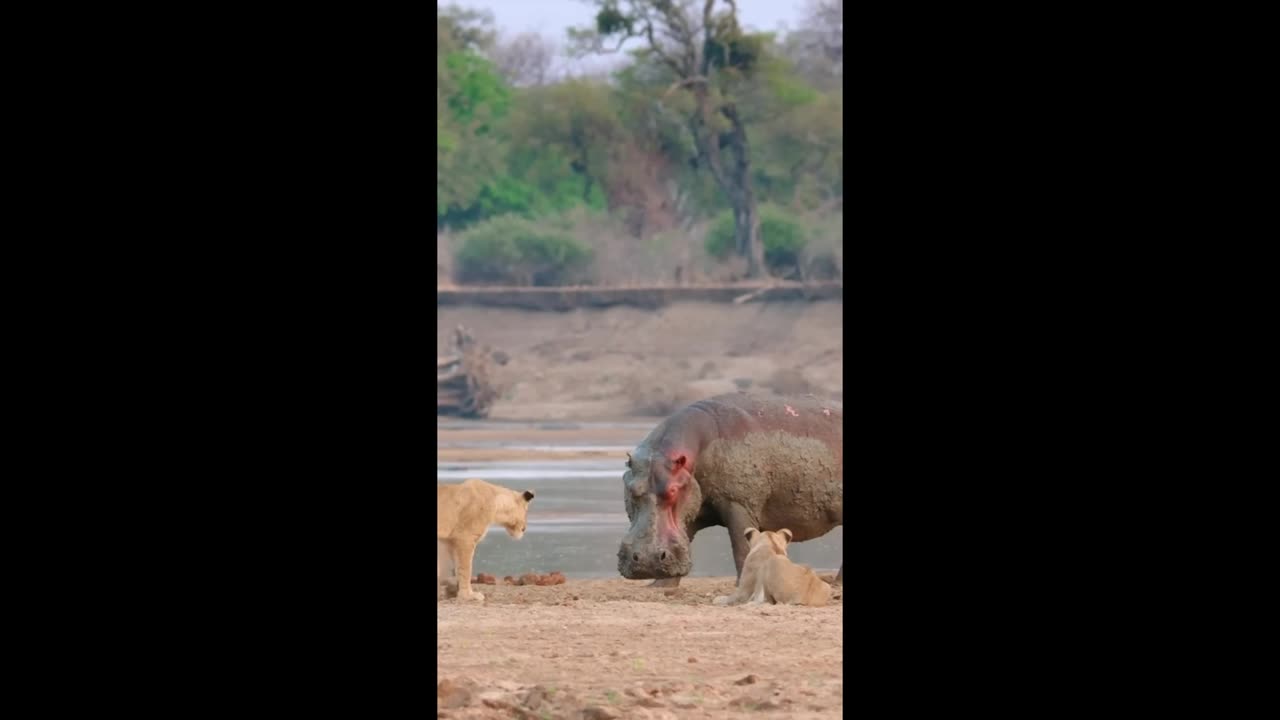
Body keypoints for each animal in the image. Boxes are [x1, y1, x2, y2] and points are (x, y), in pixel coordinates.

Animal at [616, 389, 844, 586]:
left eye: (672, 490)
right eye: (630, 488)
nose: (646, 561)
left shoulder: (738, 504)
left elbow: (741, 547)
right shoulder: (694, 509)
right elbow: (684, 538)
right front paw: (659, 587)